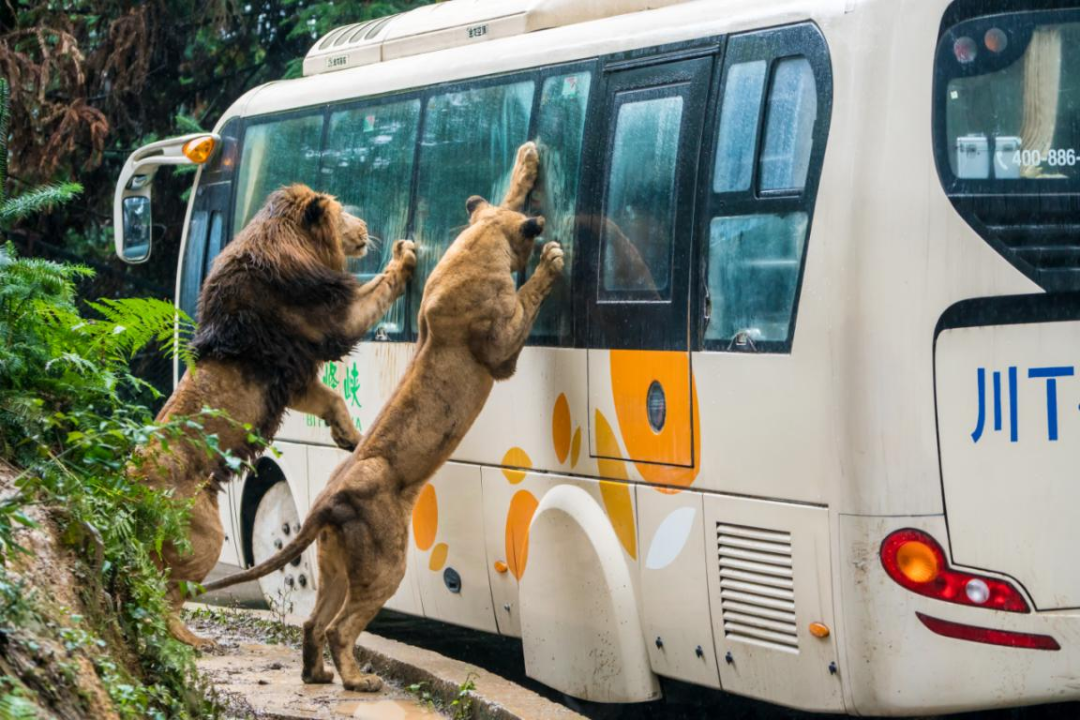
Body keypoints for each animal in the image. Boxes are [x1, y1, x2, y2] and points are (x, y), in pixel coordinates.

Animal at [143, 184, 412, 647]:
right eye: (342, 212)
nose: (365, 226)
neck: (284, 240)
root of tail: (128, 481)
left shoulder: (293, 379)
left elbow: (332, 400)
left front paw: (350, 439)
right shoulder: (334, 320)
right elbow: (381, 286)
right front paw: (406, 255)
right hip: (205, 538)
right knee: (165, 595)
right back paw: (195, 641)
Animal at [200, 142, 565, 690]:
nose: (541, 231)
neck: (475, 245)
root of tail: (324, 502)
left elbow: (504, 196)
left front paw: (525, 163)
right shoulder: (500, 351)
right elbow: (527, 297)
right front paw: (550, 261)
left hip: (334, 566)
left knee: (312, 622)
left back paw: (318, 676)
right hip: (386, 563)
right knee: (341, 626)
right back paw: (358, 681)